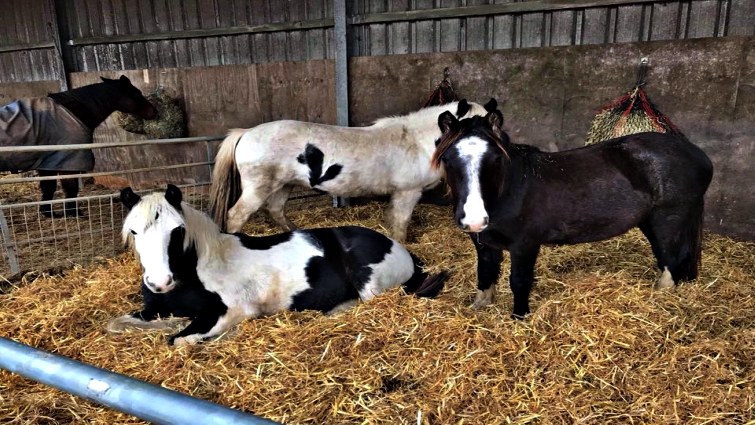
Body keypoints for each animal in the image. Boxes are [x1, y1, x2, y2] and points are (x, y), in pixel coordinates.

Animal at [0, 75, 157, 218]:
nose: (154, 112)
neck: (72, 112)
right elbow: (70, 189)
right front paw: (73, 213)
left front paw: (49, 213)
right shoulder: (67, 163)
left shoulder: (47, 164)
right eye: (136, 93)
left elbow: (48, 188)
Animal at [107, 184, 449, 346]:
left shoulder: (231, 311)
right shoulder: (150, 310)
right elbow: (115, 324)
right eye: (134, 231)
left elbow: (180, 341)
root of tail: (400, 248)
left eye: (177, 230)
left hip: (369, 283)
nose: (160, 282)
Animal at [208, 99, 489, 243]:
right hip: (258, 188)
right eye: (472, 126)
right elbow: (401, 222)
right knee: (236, 216)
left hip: (283, 185)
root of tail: (246, 133)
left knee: (276, 210)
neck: (416, 140)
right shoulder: (408, 193)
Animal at [431, 99, 713, 319]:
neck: (511, 189)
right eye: (447, 159)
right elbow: (485, 275)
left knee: (671, 260)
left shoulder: (525, 245)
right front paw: (479, 309)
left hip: (669, 220)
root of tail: (698, 155)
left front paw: (519, 318)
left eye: (496, 160)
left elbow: (519, 282)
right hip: (651, 222)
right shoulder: (484, 243)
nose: (474, 218)